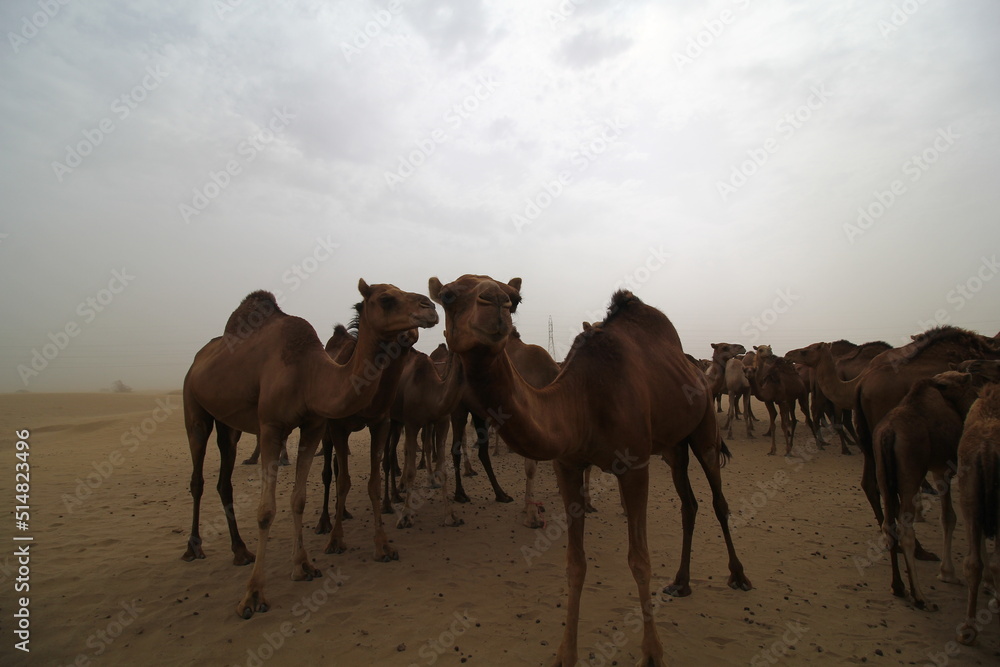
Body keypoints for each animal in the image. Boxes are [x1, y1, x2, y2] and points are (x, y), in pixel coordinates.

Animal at [182, 281, 438, 619]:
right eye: (386, 298)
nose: (429, 308)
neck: (309, 374)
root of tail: (197, 360)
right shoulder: (272, 426)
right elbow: (266, 510)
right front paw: (253, 595)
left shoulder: (314, 427)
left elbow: (299, 499)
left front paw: (303, 566)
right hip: (193, 407)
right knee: (197, 477)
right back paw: (194, 547)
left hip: (228, 425)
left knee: (224, 480)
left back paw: (240, 551)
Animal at [428, 274, 750, 666]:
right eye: (447, 296)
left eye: (514, 299)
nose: (496, 305)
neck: (584, 400)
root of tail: (698, 374)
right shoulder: (567, 465)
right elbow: (575, 564)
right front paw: (565, 653)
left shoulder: (634, 465)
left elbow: (640, 560)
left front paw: (652, 653)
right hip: (674, 447)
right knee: (689, 504)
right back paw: (681, 582)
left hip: (703, 430)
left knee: (718, 500)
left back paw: (738, 576)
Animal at [873, 370, 984, 611]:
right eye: (968, 388)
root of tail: (889, 433)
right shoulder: (944, 469)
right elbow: (949, 517)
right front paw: (948, 573)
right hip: (910, 472)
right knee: (905, 529)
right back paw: (920, 597)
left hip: (883, 474)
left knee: (889, 524)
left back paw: (898, 587)